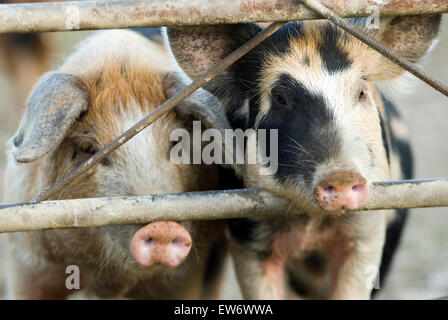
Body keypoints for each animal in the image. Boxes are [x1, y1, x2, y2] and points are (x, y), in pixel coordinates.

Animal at [164, 14, 440, 300]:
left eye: (362, 92)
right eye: (280, 98)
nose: (341, 175)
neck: (311, 223)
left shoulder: (369, 226)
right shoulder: (249, 235)